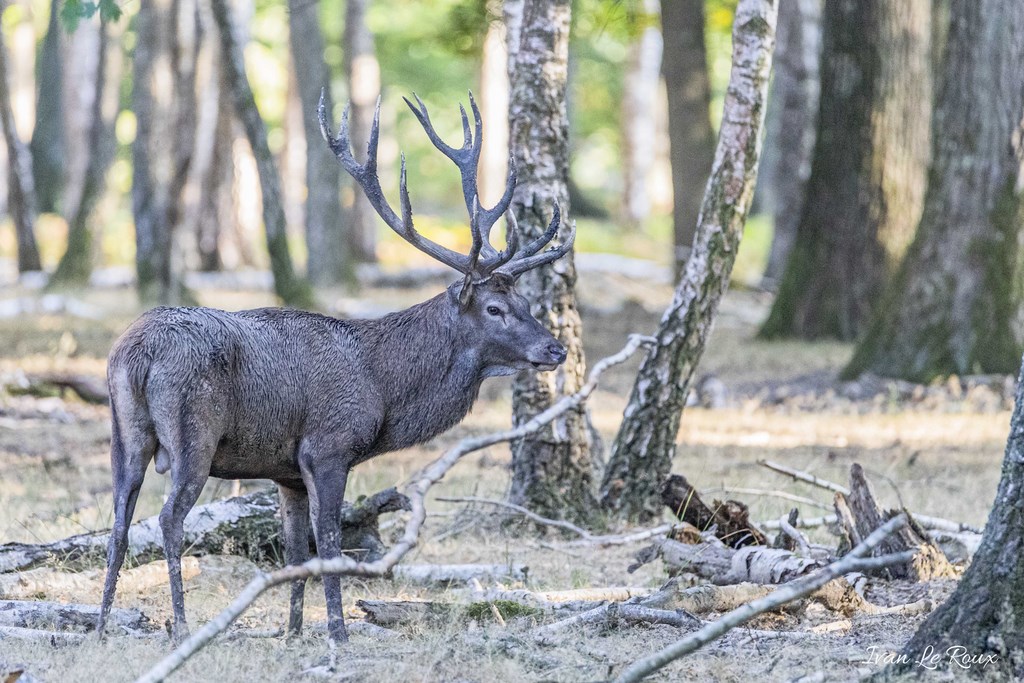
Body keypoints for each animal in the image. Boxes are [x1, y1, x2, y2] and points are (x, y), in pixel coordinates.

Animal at [96, 92, 574, 644]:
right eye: (495, 309)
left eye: (525, 301)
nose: (555, 349)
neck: (382, 389)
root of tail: (139, 350)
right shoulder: (328, 447)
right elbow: (328, 544)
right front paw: (338, 633)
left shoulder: (285, 471)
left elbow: (295, 550)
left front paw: (292, 631)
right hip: (193, 431)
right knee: (169, 518)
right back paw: (180, 626)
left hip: (123, 430)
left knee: (119, 520)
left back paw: (102, 626)